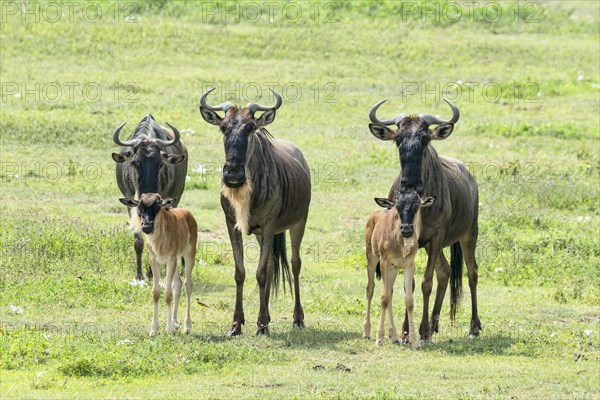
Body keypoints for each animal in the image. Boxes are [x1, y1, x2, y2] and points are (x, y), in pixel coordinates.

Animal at [119, 192, 197, 336]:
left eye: (157, 206)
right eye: (140, 207)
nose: (147, 226)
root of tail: (188, 214)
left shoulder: (171, 259)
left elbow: (167, 294)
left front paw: (169, 329)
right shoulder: (154, 260)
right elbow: (156, 293)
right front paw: (154, 329)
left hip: (189, 254)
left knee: (188, 284)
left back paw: (187, 326)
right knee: (178, 284)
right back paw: (175, 321)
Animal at [364, 191, 434, 346]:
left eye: (417, 205)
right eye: (397, 206)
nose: (406, 229)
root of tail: (373, 216)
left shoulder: (409, 265)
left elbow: (409, 300)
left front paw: (414, 341)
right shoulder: (384, 261)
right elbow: (383, 297)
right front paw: (379, 338)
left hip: (394, 269)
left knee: (390, 291)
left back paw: (394, 335)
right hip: (371, 257)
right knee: (370, 289)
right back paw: (366, 332)